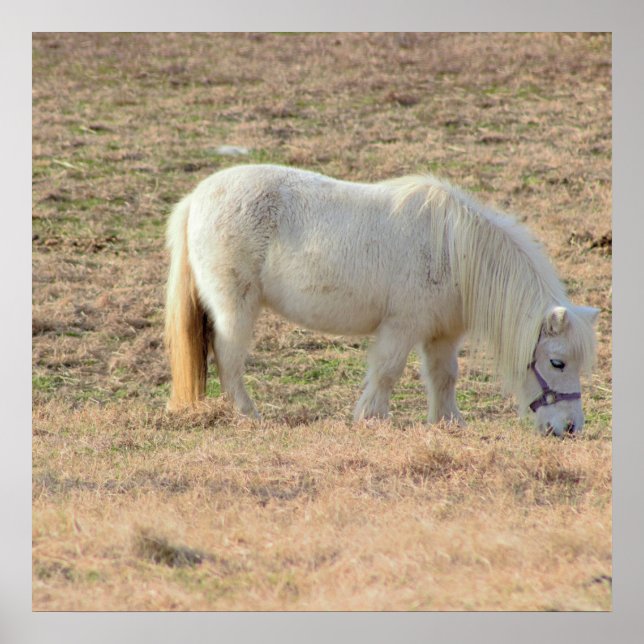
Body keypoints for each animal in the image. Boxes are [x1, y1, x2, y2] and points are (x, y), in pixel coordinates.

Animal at [164, 164, 599, 436]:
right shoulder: (401, 327)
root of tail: (196, 199)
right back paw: (248, 415)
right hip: (235, 308)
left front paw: (449, 424)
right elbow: (387, 372)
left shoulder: (442, 335)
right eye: (557, 362)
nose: (570, 429)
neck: (454, 250)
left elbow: (444, 376)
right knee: (229, 358)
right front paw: (372, 419)